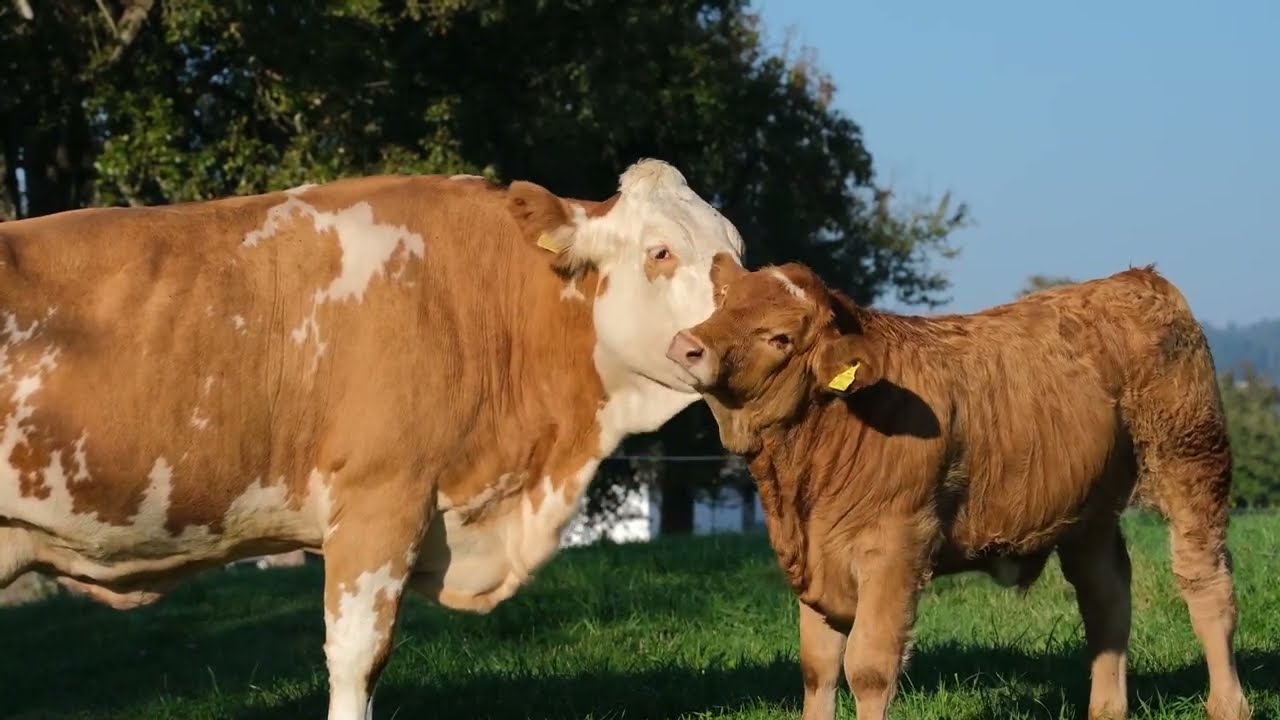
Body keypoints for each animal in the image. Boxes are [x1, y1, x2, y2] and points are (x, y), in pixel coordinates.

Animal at [665, 261, 1251, 720]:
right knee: (1105, 598)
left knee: (1205, 584)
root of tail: (1136, 279)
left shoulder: (896, 547)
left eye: (779, 338)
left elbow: (869, 667)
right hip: (1089, 511)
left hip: (1191, 459)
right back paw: (1106, 710)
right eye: (722, 307)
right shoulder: (817, 556)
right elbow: (818, 667)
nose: (688, 345)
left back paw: (1228, 704)